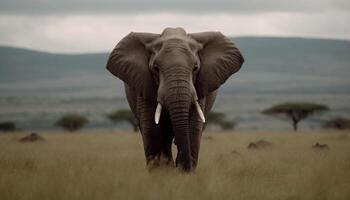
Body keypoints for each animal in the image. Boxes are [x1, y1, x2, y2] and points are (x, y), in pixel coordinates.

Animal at [106, 27, 243, 172]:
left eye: (195, 68)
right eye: (155, 68)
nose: (184, 168)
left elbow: (193, 128)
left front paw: (184, 173)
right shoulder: (144, 84)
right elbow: (152, 129)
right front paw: (162, 173)